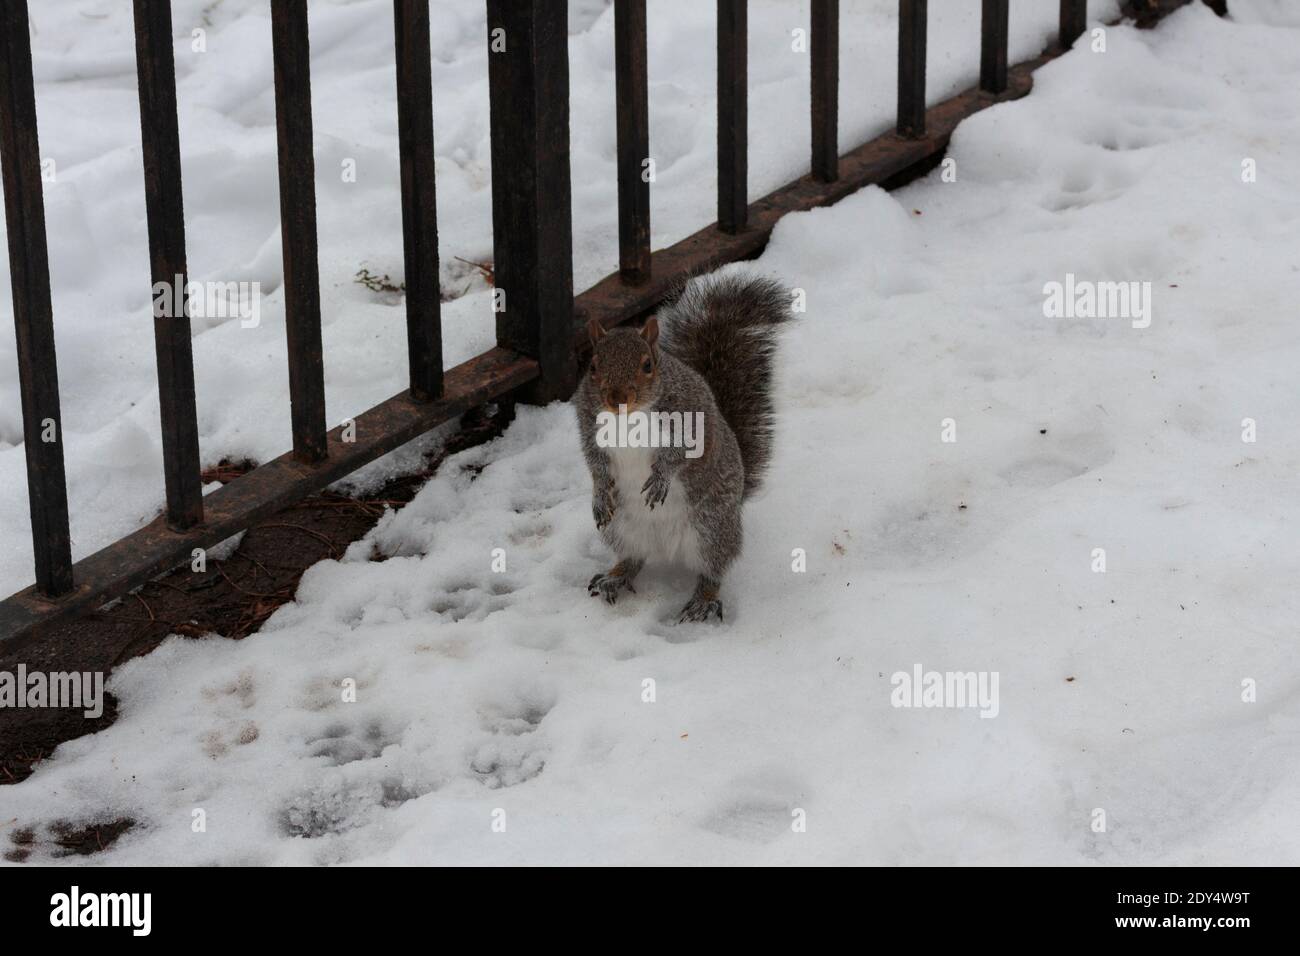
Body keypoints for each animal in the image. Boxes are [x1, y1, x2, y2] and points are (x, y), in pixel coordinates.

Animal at [575, 271, 791, 623]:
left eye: (647, 365)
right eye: (593, 367)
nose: (617, 398)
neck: (629, 417)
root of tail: (666, 549)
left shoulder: (690, 417)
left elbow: (680, 452)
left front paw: (660, 478)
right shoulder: (588, 425)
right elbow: (595, 463)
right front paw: (599, 496)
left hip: (711, 527)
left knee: (713, 570)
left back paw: (703, 598)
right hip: (622, 529)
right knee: (634, 558)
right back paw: (615, 576)